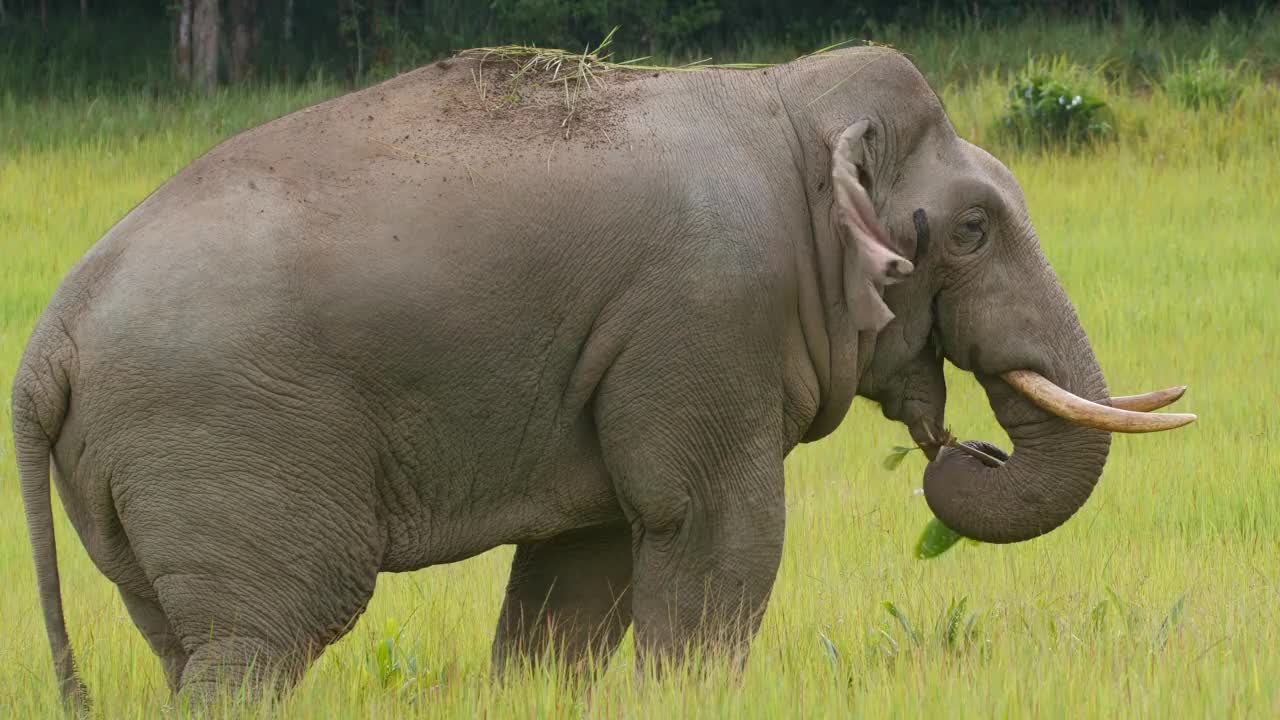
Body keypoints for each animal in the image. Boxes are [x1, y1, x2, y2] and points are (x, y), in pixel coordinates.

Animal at [10, 46, 1192, 707]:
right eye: (972, 229)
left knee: (189, 645)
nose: (962, 448)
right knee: (263, 642)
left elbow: (577, 570)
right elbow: (714, 531)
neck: (786, 104)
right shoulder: (707, 319)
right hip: (221, 442)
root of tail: (44, 345)